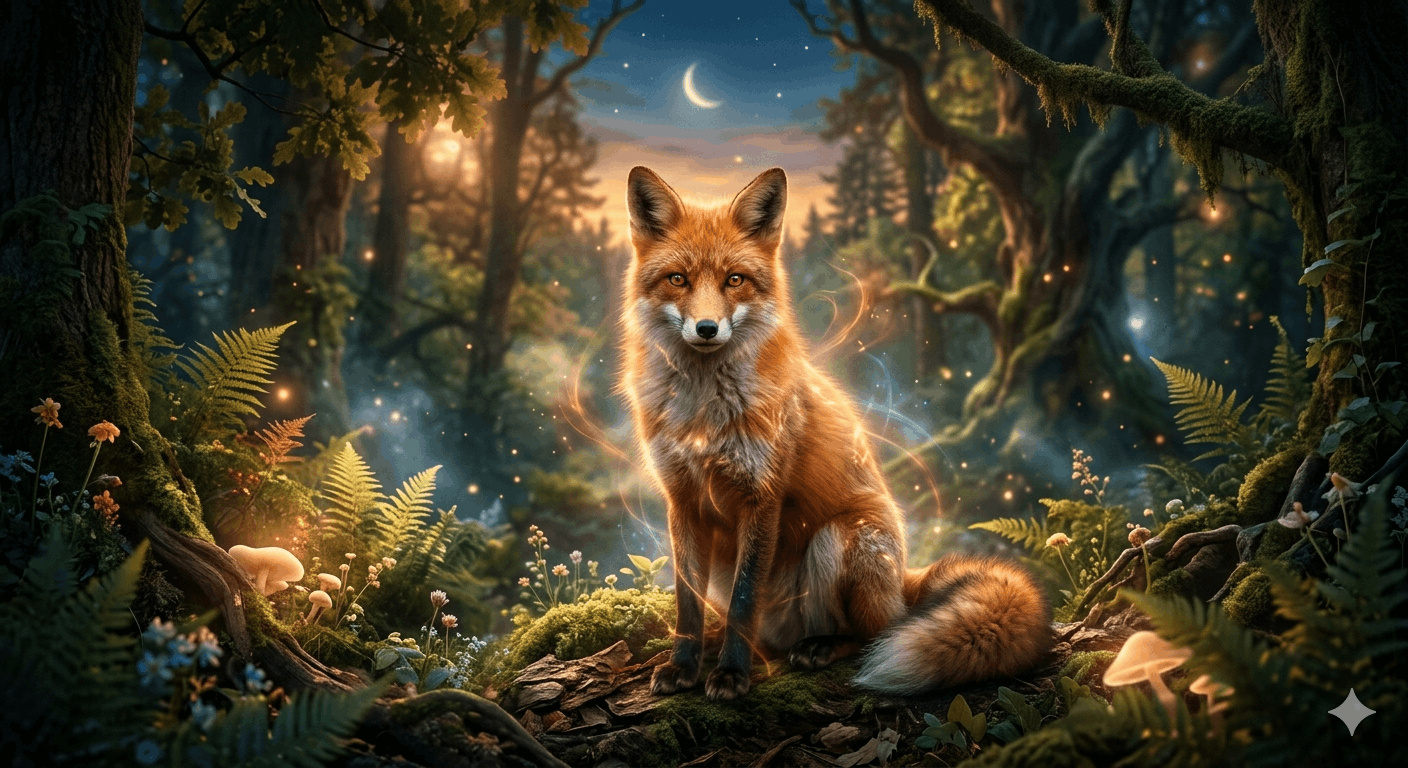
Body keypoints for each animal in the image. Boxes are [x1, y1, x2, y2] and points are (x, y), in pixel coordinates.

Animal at [619, 166, 1052, 701]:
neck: (702, 414)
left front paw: (732, 674)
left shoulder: (762, 495)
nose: (706, 328)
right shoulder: (682, 500)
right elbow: (687, 602)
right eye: (678, 279)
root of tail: (901, 584)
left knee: (875, 632)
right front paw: (684, 664)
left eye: (734, 280)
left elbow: (744, 601)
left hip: (842, 538)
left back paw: (820, 647)